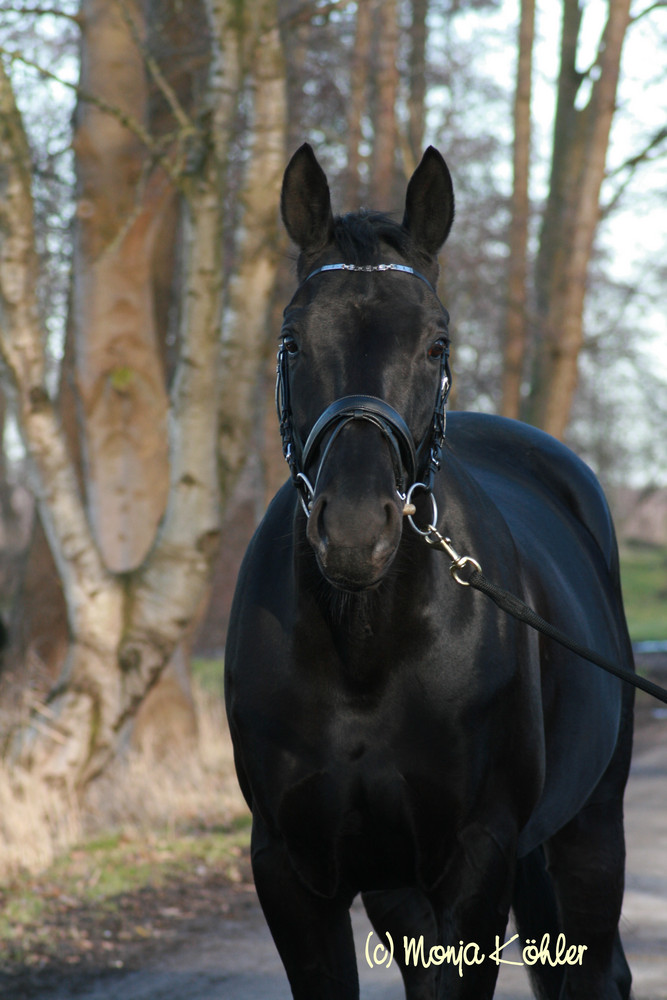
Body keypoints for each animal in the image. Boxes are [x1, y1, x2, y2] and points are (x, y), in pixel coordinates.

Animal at [226, 143, 636, 1000]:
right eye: (291, 341)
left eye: (436, 344)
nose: (355, 531)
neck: (363, 654)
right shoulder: (291, 872)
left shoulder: (475, 862)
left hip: (590, 826)